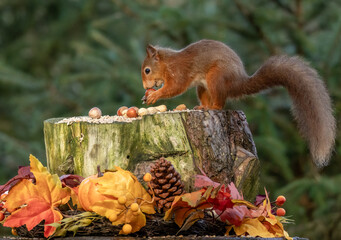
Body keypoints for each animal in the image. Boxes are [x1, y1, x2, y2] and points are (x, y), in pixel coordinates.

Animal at [140, 39, 334, 168]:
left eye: (147, 70)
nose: (145, 87)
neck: (167, 63)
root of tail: (237, 81)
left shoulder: (179, 73)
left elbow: (175, 88)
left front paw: (155, 95)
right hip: (203, 87)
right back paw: (202, 107)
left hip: (216, 78)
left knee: (220, 103)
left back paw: (212, 107)